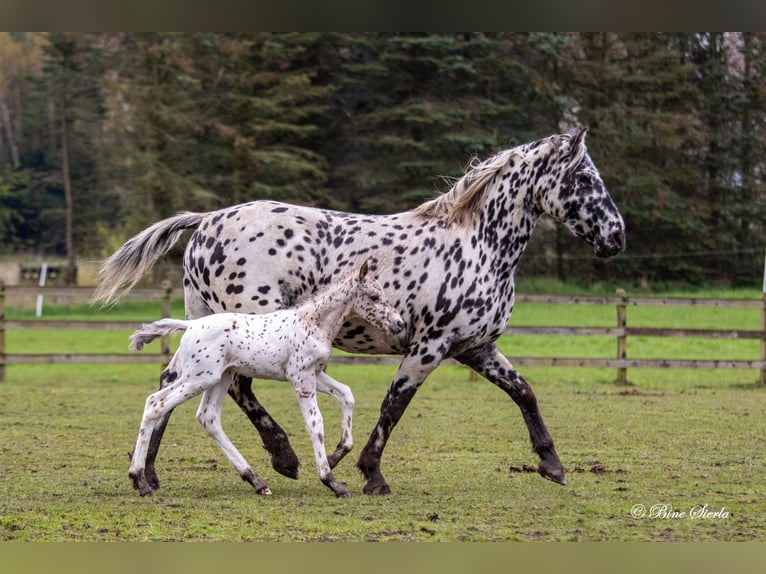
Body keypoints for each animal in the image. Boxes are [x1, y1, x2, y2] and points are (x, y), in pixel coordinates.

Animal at [127, 261, 405, 497]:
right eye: (374, 297)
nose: (399, 324)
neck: (312, 323)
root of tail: (190, 326)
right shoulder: (301, 378)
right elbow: (315, 422)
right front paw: (332, 482)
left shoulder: (314, 373)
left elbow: (347, 394)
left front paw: (337, 455)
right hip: (200, 377)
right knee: (156, 403)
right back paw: (140, 480)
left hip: (221, 377)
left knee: (208, 418)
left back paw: (256, 481)